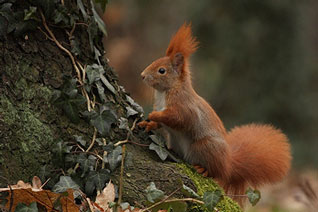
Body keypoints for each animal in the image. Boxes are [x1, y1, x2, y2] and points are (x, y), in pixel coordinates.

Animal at [138, 22, 292, 205]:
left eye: (162, 70)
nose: (142, 75)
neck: (166, 92)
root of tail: (228, 163)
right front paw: (148, 123)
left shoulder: (185, 107)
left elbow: (179, 119)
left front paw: (154, 115)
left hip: (205, 146)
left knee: (216, 173)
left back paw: (203, 169)